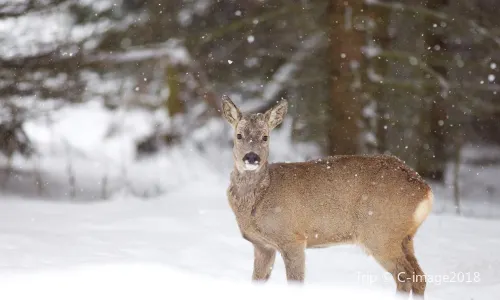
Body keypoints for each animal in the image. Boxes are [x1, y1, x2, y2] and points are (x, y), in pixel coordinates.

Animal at [221, 95, 432, 296]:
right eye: (239, 135)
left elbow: (296, 283)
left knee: (405, 276)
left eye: (265, 137)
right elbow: (256, 281)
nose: (251, 157)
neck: (259, 199)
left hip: (380, 233)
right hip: (405, 237)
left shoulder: (292, 238)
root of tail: (426, 191)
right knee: (419, 277)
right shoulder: (263, 245)